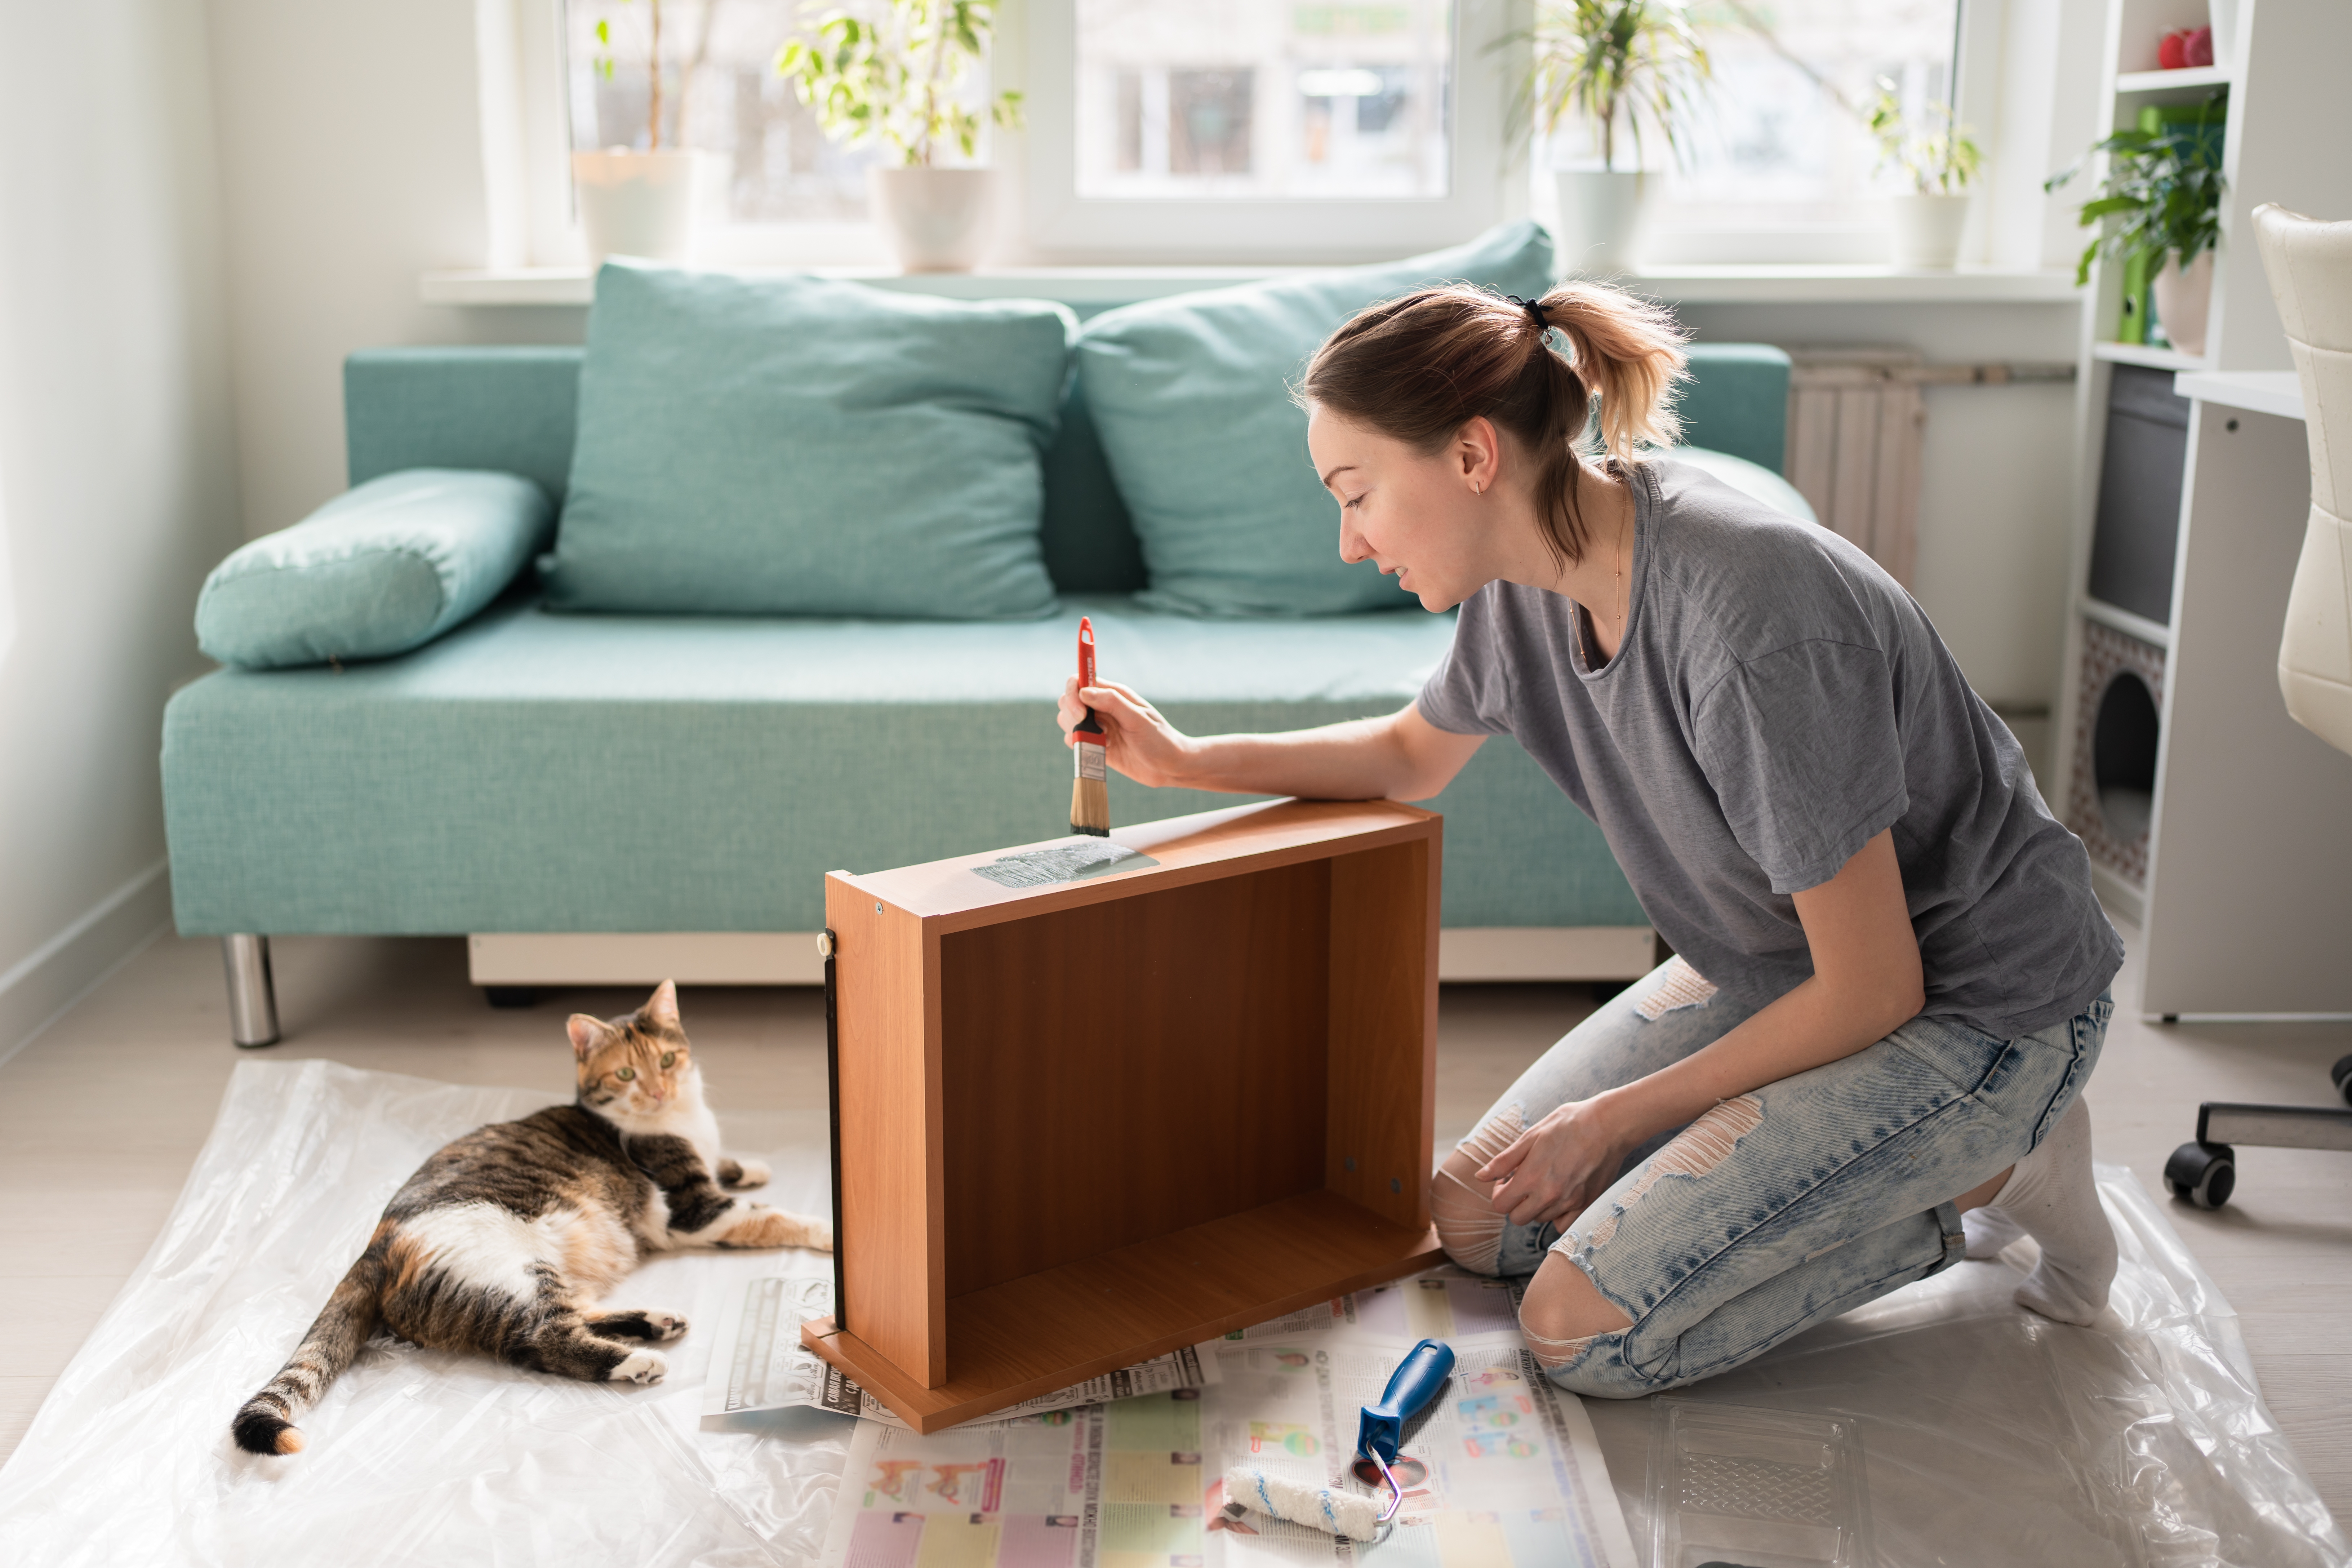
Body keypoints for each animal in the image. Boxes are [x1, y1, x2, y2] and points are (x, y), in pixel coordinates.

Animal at [229, 982, 832, 1457]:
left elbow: (727, 1163)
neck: (681, 1118)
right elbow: (774, 1217)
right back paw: (638, 1360)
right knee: (543, 1337)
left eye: (667, 1061)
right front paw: (828, 1230)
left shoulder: (707, 1166)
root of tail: (378, 1244)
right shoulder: (697, 1210)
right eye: (626, 1073)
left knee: (569, 1316)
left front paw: (751, 1165)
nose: (660, 1090)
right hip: (510, 1267)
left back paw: (657, 1322)